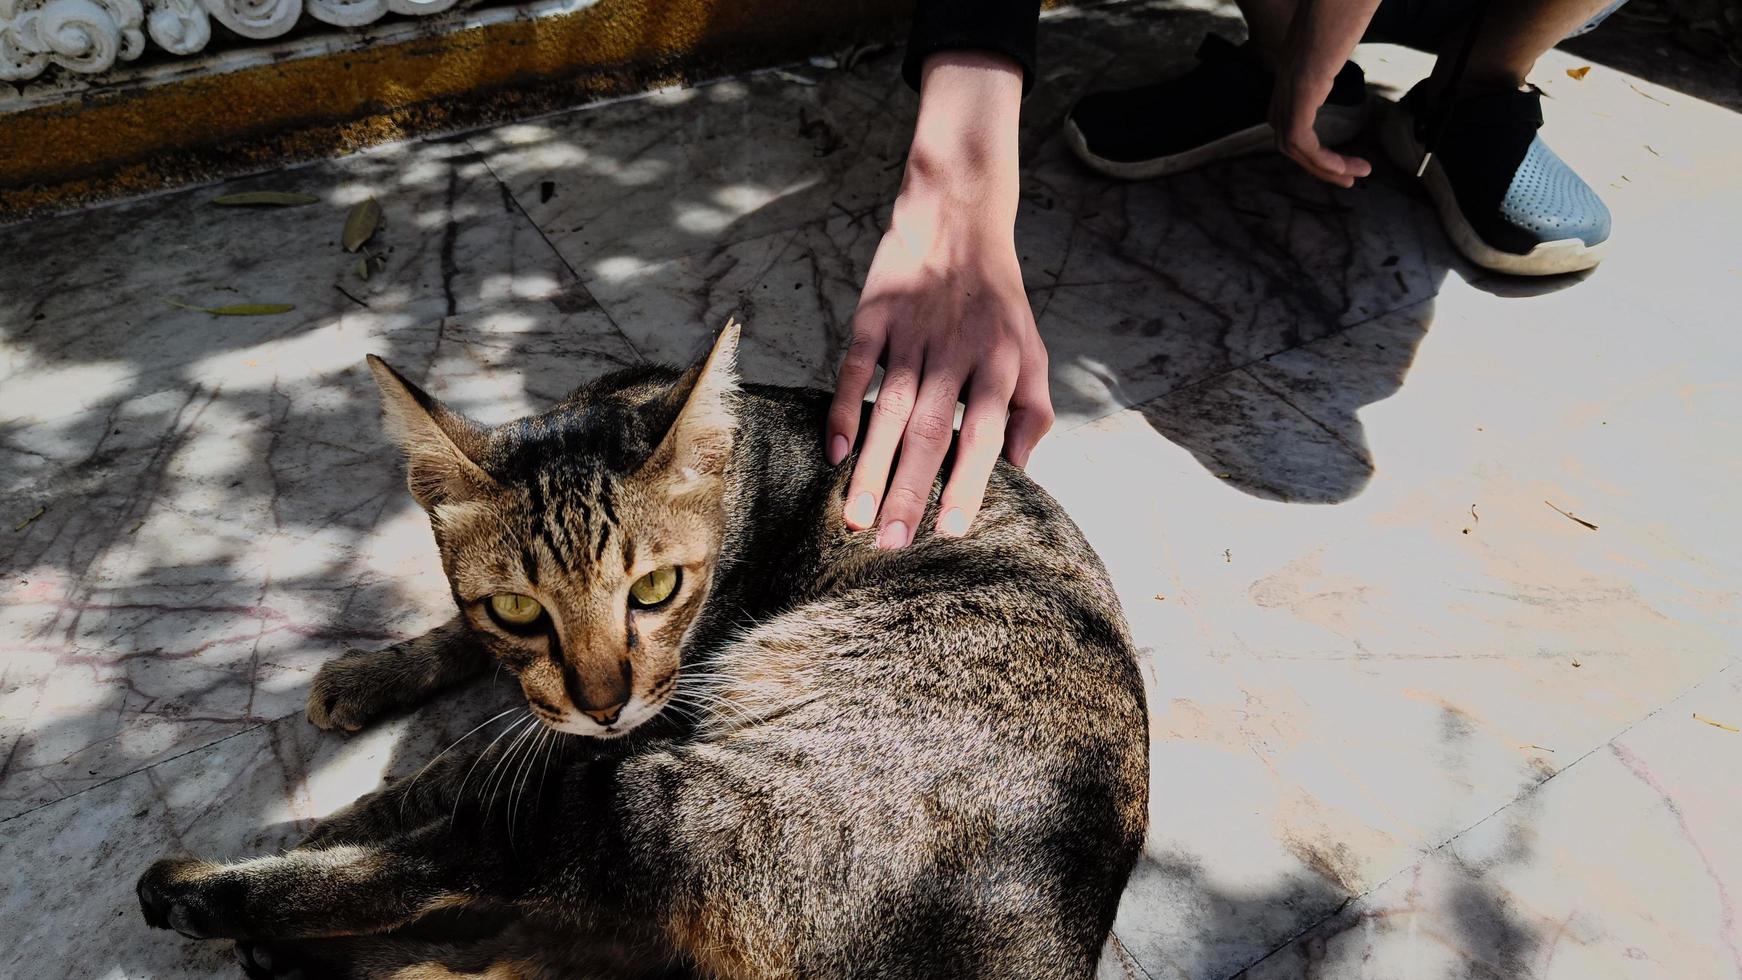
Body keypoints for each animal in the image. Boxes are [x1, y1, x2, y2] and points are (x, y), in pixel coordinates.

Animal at [139, 323, 1156, 980]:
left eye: (657, 589)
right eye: (519, 606)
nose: (603, 702)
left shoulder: (610, 733)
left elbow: (441, 783)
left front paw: (333, 819)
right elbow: (461, 641)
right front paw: (367, 675)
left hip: (665, 806)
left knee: (455, 871)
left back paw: (206, 899)